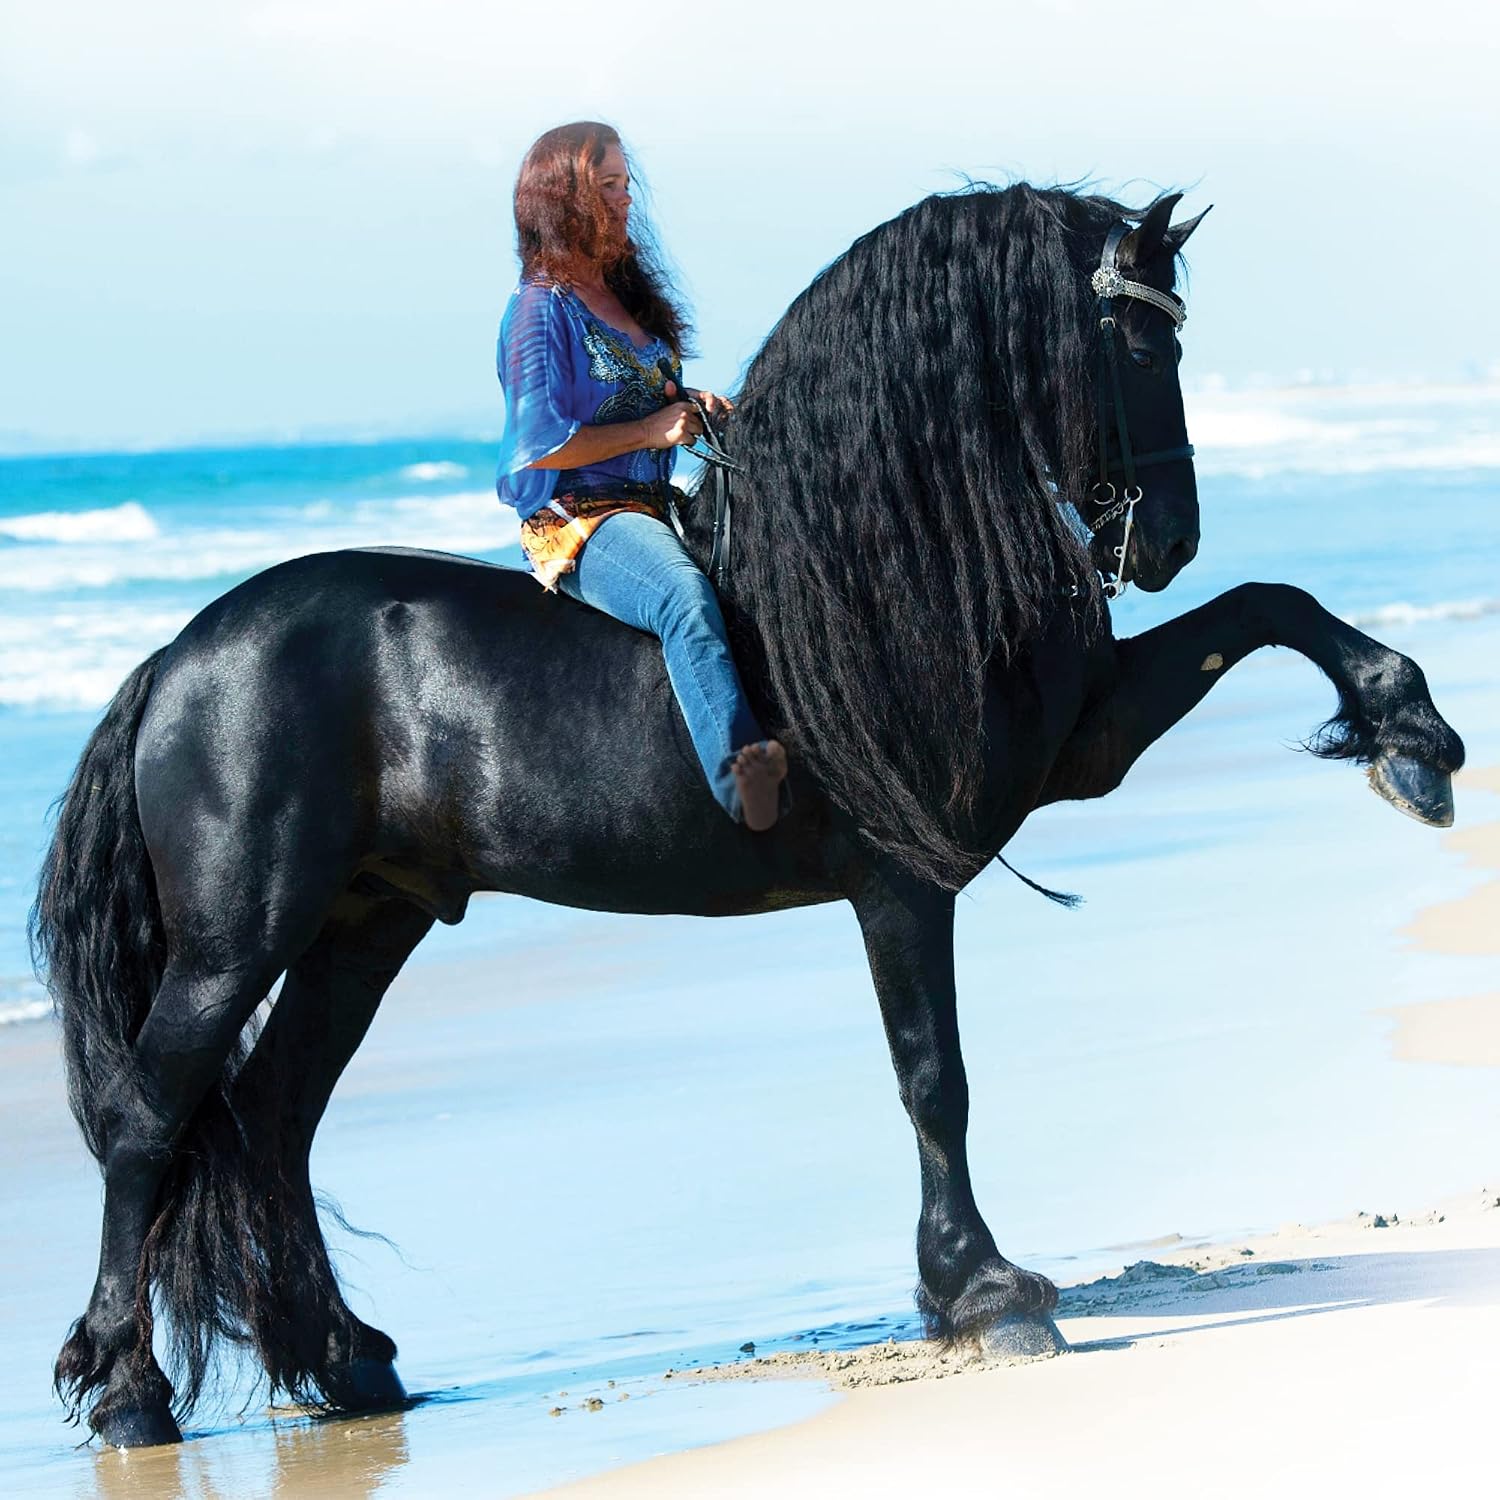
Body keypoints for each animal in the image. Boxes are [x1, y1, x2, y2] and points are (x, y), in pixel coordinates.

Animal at [31, 183, 1464, 1448]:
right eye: (1139, 338)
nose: (1165, 539)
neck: (869, 575)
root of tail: (177, 659)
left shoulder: (1083, 742)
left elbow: (1268, 606)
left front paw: (1412, 737)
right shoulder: (902, 878)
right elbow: (933, 1076)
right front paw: (982, 1291)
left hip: (362, 927)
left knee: (274, 1118)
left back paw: (345, 1364)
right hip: (238, 939)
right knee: (153, 1119)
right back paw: (130, 1393)